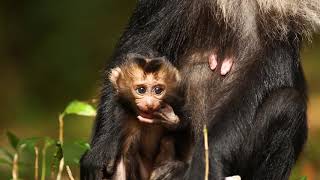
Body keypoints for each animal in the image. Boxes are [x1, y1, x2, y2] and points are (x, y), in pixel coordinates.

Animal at [80, 0, 320, 180]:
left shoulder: (282, 21)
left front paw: (206, 162)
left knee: (287, 104)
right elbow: (137, 47)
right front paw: (102, 148)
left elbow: (254, 84)